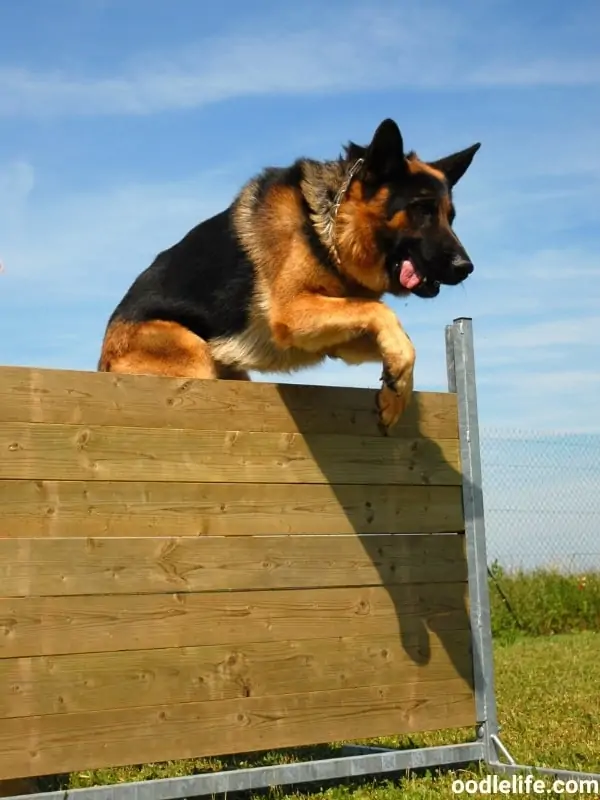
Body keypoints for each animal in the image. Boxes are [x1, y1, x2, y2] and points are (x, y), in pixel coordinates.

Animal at [101, 119, 480, 432]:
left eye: (450, 217)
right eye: (422, 210)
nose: (466, 268)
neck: (329, 228)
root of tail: (102, 363)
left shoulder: (338, 337)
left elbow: (398, 335)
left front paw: (396, 389)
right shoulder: (293, 313)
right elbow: (382, 311)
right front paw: (397, 379)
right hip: (194, 356)